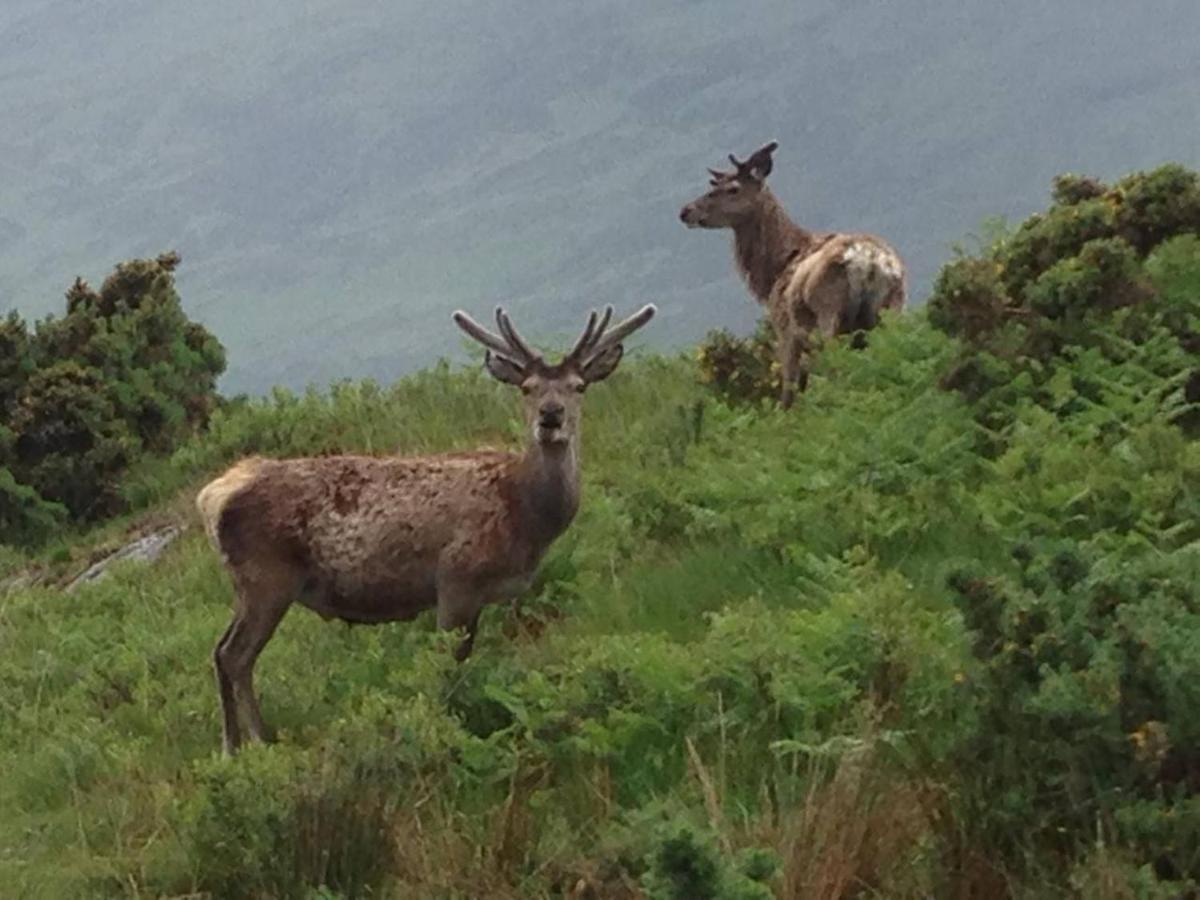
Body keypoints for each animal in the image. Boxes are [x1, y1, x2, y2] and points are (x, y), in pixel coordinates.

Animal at [196, 303, 657, 753]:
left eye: (579, 386)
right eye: (527, 388)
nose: (550, 416)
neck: (525, 514)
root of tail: (213, 496)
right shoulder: (456, 578)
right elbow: (448, 659)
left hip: (249, 585)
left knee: (222, 650)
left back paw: (239, 742)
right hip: (267, 578)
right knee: (235, 655)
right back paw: (250, 743)